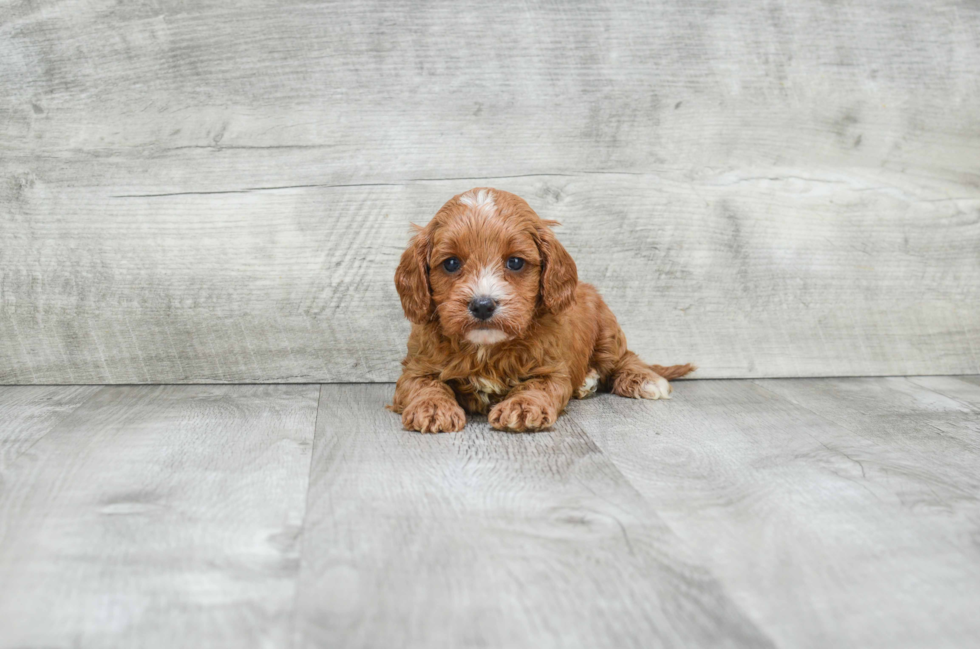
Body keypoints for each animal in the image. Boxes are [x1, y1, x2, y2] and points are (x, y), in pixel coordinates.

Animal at [390, 186, 696, 430]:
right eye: (451, 263)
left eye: (515, 262)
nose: (483, 305)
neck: (486, 349)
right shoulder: (416, 366)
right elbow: (424, 384)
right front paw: (432, 407)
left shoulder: (551, 367)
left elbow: (538, 385)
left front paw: (522, 407)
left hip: (607, 331)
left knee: (625, 358)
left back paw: (643, 379)